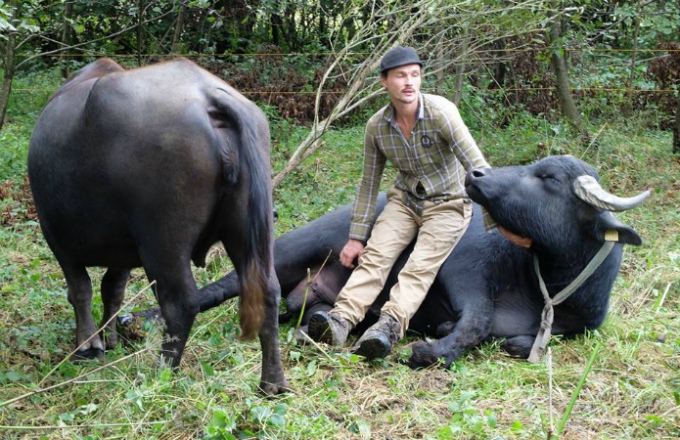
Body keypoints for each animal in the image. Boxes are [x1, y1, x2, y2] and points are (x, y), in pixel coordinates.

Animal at [27, 57, 288, 392]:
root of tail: (209, 99)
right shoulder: (122, 253)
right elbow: (112, 291)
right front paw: (109, 339)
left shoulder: (59, 241)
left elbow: (80, 290)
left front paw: (88, 345)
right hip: (246, 227)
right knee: (267, 290)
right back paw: (272, 382)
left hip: (163, 242)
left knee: (181, 302)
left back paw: (161, 371)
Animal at [179, 155, 648, 368]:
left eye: (547, 177)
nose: (477, 174)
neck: (545, 284)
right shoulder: (465, 272)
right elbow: (477, 322)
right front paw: (430, 348)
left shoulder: (585, 322)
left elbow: (535, 338)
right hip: (291, 249)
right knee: (225, 285)